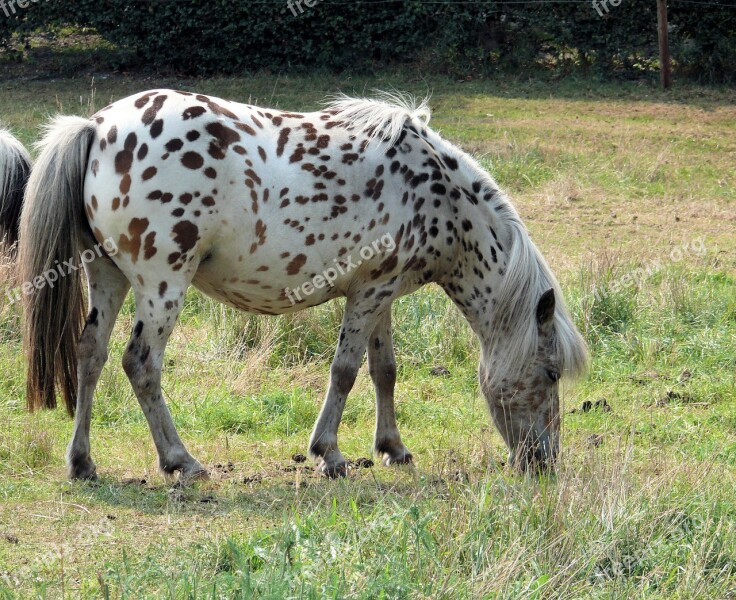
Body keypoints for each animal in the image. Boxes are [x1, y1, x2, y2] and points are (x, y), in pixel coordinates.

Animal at [17, 90, 588, 482]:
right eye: (551, 373)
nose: (544, 461)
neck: (437, 194)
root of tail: (96, 126)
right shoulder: (367, 296)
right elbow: (345, 372)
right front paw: (329, 454)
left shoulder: (379, 294)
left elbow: (384, 371)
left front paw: (393, 448)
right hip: (162, 284)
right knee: (141, 365)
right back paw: (181, 460)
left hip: (106, 278)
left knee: (90, 353)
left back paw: (82, 461)